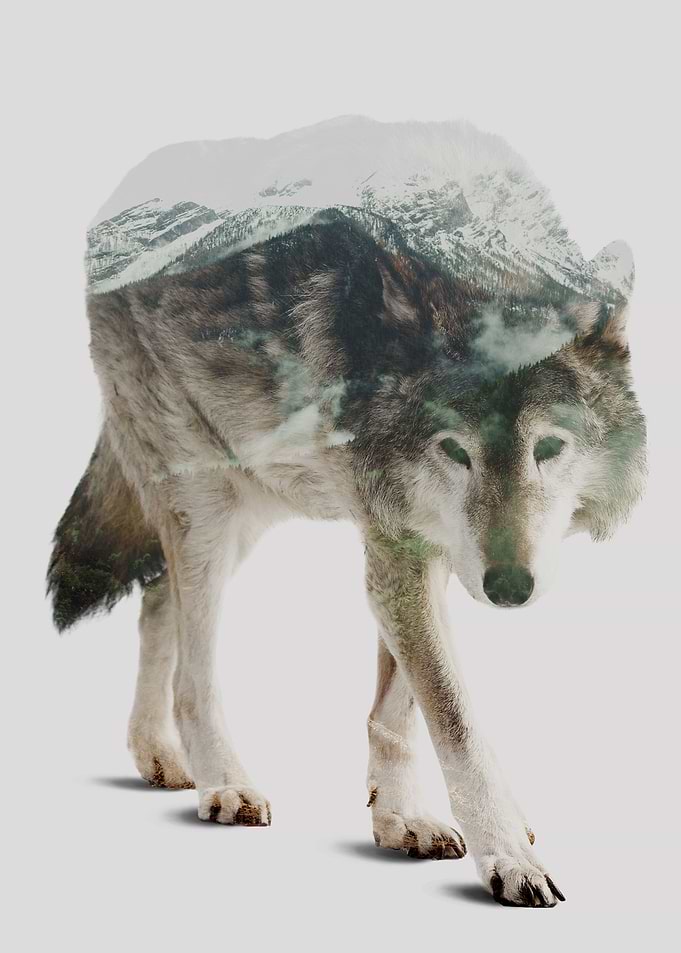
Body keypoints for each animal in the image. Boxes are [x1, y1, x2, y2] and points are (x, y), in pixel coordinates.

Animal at [48, 211, 646, 907]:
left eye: (548, 448)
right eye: (456, 452)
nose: (508, 587)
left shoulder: (422, 549)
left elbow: (402, 708)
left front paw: (399, 817)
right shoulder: (398, 552)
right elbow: (456, 718)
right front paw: (508, 856)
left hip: (249, 506)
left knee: (154, 600)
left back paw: (159, 755)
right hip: (207, 507)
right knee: (192, 674)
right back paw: (221, 780)